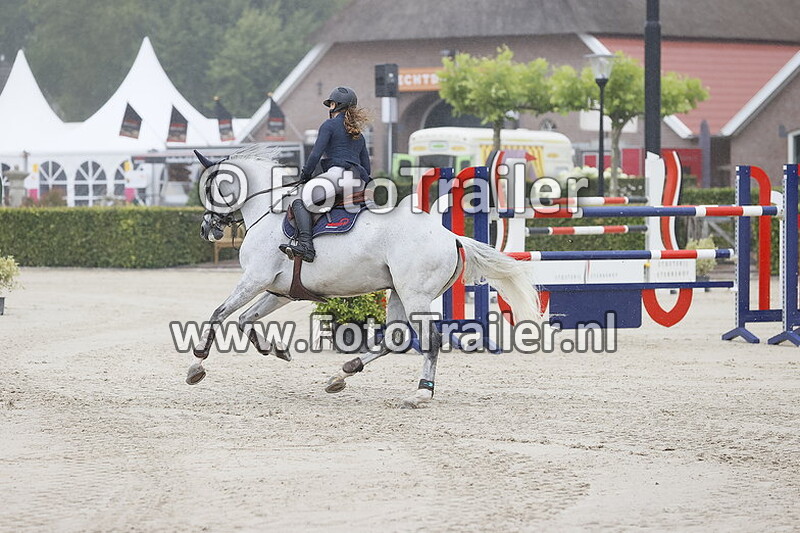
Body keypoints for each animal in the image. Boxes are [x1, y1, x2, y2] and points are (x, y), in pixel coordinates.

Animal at [188, 145, 540, 408]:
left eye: (209, 188)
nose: (206, 229)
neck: (267, 210)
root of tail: (451, 237)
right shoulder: (279, 291)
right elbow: (245, 319)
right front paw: (276, 349)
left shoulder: (254, 280)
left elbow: (220, 314)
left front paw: (197, 363)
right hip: (398, 293)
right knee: (395, 338)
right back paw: (341, 374)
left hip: (415, 296)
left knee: (430, 340)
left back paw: (420, 393)